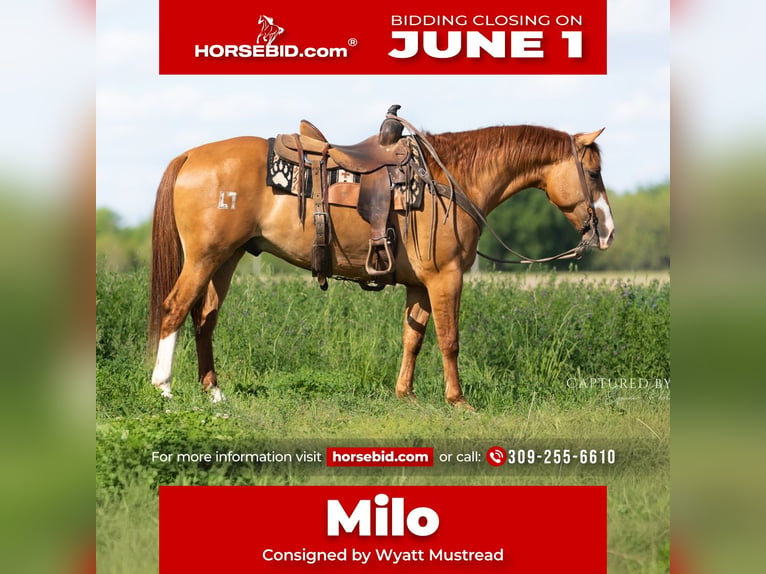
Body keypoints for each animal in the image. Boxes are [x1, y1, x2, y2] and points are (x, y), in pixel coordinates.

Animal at [148, 117, 615, 407]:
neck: (448, 182)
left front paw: (405, 394)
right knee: (174, 310)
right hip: (204, 258)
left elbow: (413, 338)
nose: (608, 231)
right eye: (593, 173)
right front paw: (458, 400)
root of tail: (190, 156)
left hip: (225, 260)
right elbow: (449, 339)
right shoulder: (446, 278)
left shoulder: (421, 284)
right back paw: (164, 390)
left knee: (204, 319)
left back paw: (214, 393)